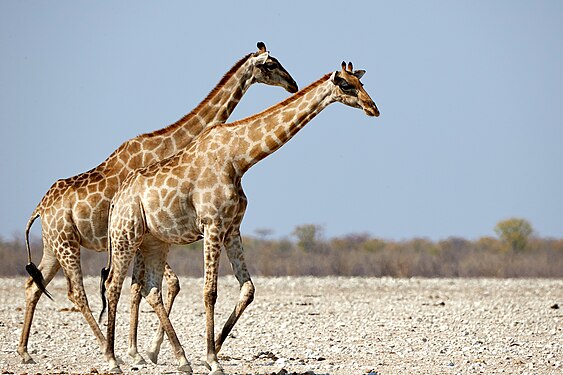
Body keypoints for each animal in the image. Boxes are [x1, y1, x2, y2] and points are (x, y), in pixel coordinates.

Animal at [17, 41, 298, 368]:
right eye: (271, 64)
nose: (292, 84)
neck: (170, 145)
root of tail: (38, 209)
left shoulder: (150, 236)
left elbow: (147, 287)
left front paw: (142, 351)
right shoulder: (150, 233)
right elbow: (157, 286)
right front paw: (143, 352)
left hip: (53, 246)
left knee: (34, 285)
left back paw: (25, 352)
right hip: (67, 244)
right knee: (77, 293)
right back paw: (104, 349)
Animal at [101, 62, 382, 375]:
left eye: (361, 82)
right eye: (346, 85)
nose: (373, 108)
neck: (239, 160)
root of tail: (116, 200)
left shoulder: (232, 227)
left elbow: (248, 288)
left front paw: (215, 347)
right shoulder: (212, 224)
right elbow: (209, 291)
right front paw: (212, 359)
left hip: (155, 241)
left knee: (151, 289)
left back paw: (178, 358)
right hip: (125, 236)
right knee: (113, 285)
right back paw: (113, 360)